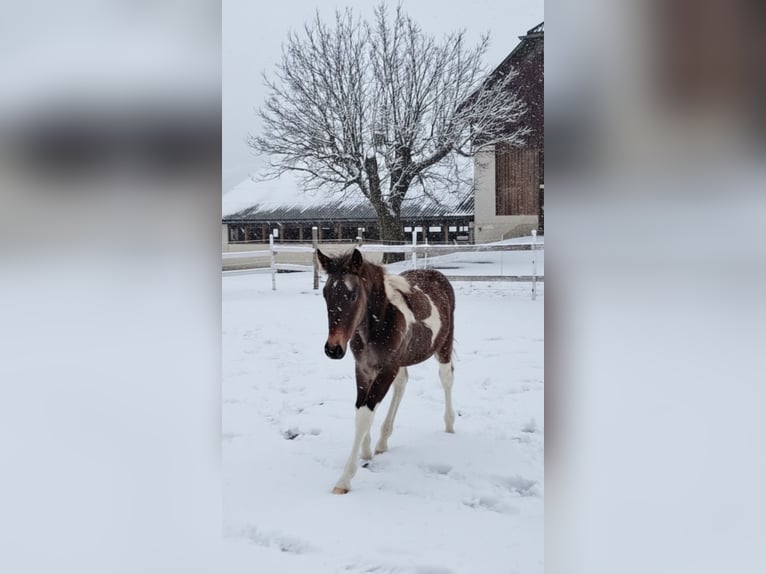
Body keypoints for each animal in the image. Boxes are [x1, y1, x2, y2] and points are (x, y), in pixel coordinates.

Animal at [316, 248, 456, 494]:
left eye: (353, 295)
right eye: (325, 294)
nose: (333, 349)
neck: (377, 324)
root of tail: (436, 274)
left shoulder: (388, 367)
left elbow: (365, 413)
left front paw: (344, 480)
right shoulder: (363, 368)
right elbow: (360, 409)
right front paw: (367, 450)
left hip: (444, 345)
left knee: (446, 378)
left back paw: (449, 426)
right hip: (402, 361)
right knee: (402, 384)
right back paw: (383, 441)